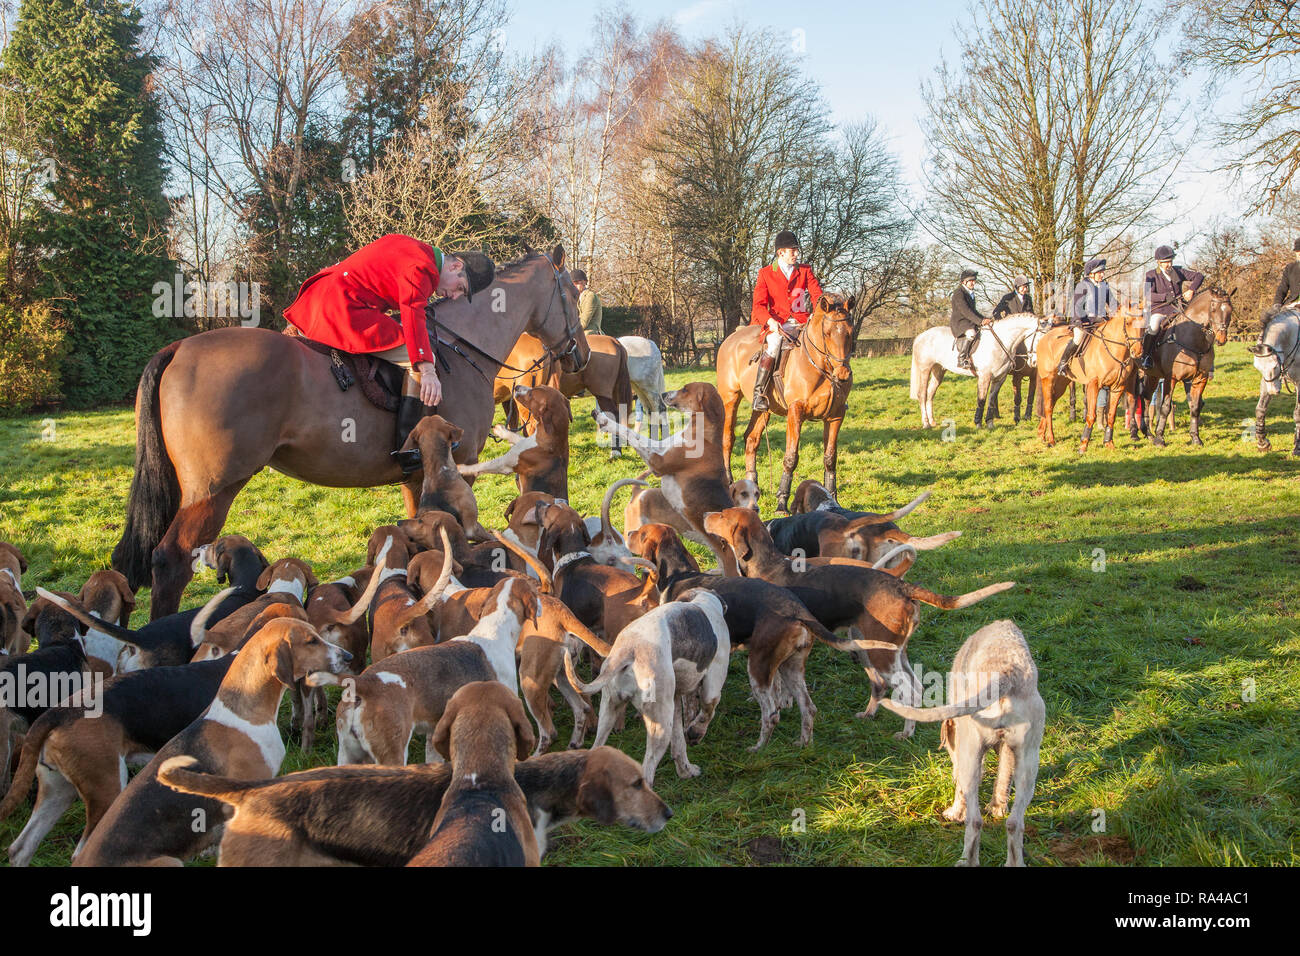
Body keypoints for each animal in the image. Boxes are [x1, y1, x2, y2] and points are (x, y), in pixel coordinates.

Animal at [111, 247, 590, 621]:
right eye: (570, 294)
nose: (581, 355)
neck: (463, 348)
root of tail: (178, 349)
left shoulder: (418, 478)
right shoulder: (462, 468)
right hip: (212, 491)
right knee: (171, 560)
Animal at [717, 293, 857, 512]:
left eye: (850, 332)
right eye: (826, 333)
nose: (842, 374)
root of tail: (733, 337)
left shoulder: (836, 415)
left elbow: (830, 458)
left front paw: (834, 498)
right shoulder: (795, 412)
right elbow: (791, 457)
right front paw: (781, 502)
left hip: (764, 409)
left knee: (751, 439)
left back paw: (752, 485)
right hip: (730, 398)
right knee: (727, 438)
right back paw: (730, 481)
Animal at [1029, 308, 1144, 455]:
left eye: (1144, 324)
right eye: (1128, 323)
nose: (1137, 352)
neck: (1112, 349)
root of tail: (1045, 337)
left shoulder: (1117, 387)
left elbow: (1111, 416)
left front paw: (1109, 444)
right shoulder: (1093, 385)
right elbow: (1091, 415)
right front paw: (1083, 445)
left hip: (1061, 383)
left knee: (1051, 404)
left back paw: (1041, 434)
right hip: (1048, 379)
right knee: (1048, 407)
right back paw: (1051, 439)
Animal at [1133, 286, 1232, 447]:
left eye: (1230, 309)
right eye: (1213, 308)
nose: (1221, 338)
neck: (1193, 341)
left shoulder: (1200, 379)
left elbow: (1195, 407)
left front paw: (1195, 437)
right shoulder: (1171, 378)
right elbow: (1165, 407)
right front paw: (1160, 438)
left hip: (1152, 375)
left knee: (1145, 397)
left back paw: (1147, 432)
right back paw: (1137, 432)